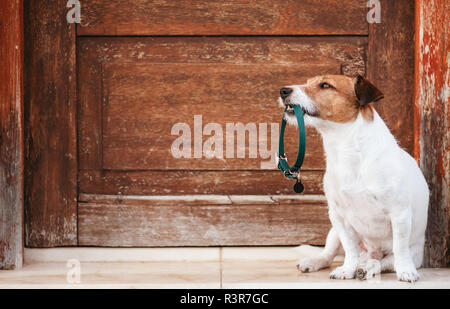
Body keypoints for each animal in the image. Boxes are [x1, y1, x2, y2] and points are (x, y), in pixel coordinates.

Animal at [278, 74, 428, 282]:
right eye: (308, 82)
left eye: (325, 85)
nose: (283, 90)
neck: (347, 150)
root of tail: (371, 253)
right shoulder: (338, 217)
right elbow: (350, 249)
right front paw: (347, 269)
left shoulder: (400, 214)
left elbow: (399, 248)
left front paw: (406, 271)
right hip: (333, 233)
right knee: (330, 254)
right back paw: (318, 262)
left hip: (412, 253)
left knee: (384, 261)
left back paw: (367, 268)